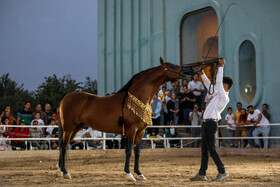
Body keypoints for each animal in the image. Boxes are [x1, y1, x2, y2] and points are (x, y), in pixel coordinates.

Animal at [57, 57, 187, 181]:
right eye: (172, 66)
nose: (187, 69)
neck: (137, 98)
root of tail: (65, 98)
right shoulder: (131, 130)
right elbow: (128, 150)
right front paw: (129, 174)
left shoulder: (141, 131)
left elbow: (137, 151)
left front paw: (139, 173)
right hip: (69, 129)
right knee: (63, 147)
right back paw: (65, 172)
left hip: (74, 129)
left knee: (64, 146)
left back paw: (60, 170)